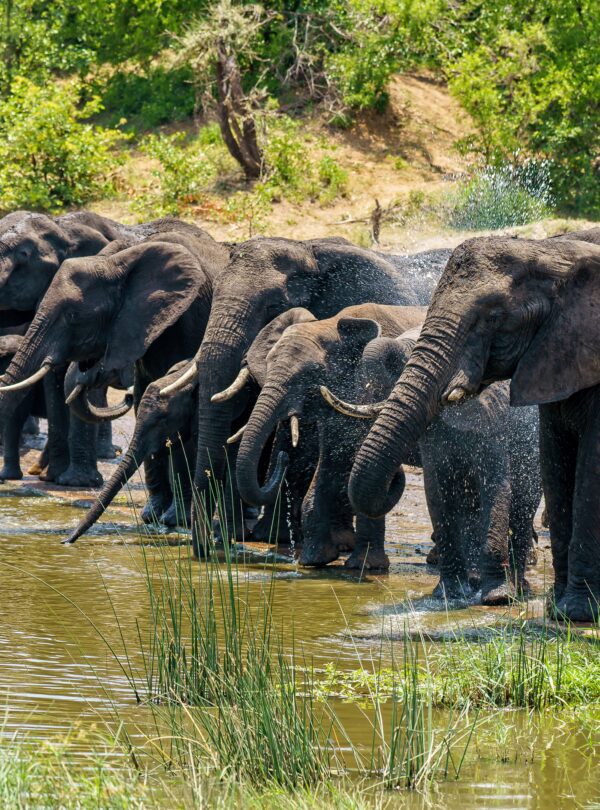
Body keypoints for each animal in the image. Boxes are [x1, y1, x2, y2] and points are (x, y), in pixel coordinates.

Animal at [0, 223, 227, 514]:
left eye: (73, 316)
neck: (116, 262)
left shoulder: (186, 318)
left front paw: (171, 518)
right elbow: (145, 397)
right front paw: (153, 515)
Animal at [233, 303, 426, 566]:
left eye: (310, 374)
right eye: (269, 362)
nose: (283, 457)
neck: (331, 326)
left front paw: (365, 566)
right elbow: (331, 461)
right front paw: (315, 559)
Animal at [324, 331, 541, 600]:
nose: (395, 475)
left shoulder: (494, 419)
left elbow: (496, 486)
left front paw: (497, 598)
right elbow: (436, 491)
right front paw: (448, 595)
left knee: (524, 506)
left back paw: (519, 588)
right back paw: (476, 581)